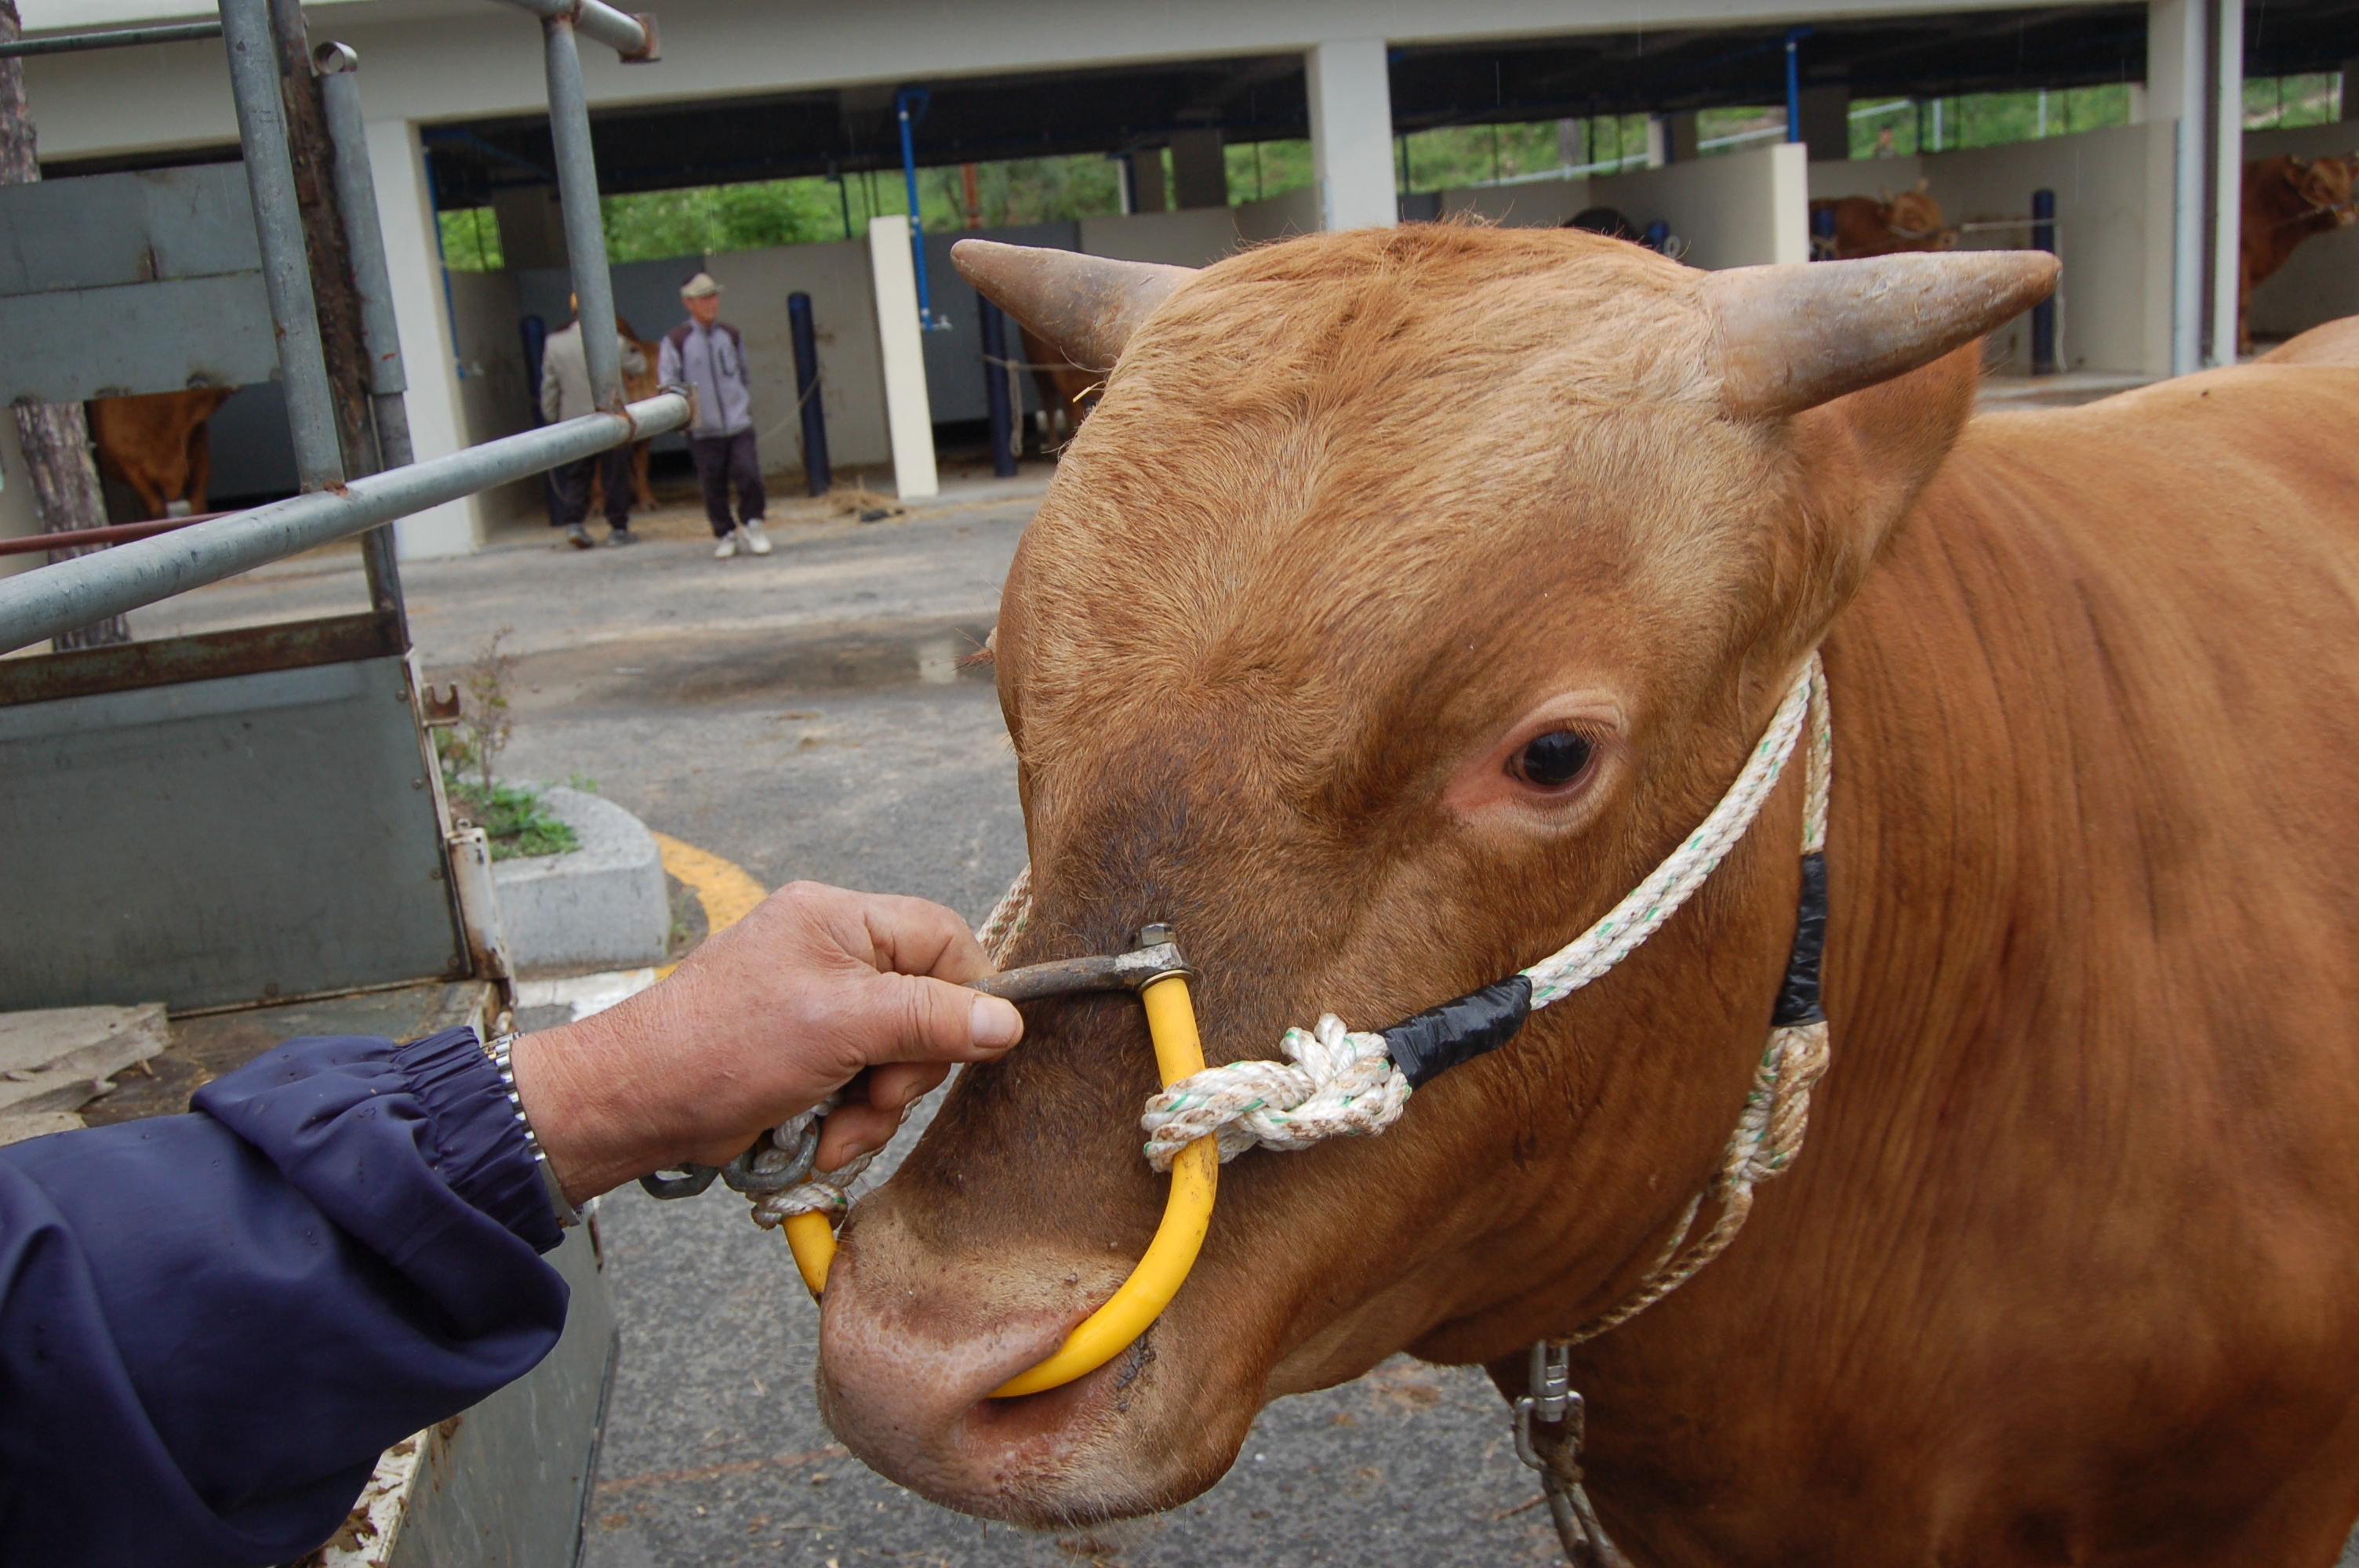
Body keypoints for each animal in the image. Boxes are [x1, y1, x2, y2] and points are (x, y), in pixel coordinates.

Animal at [2236, 151, 2349, 354]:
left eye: (2347, 184)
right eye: (2316, 186)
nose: (2349, 214)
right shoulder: (2242, 259)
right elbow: (2243, 302)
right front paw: (2244, 344)